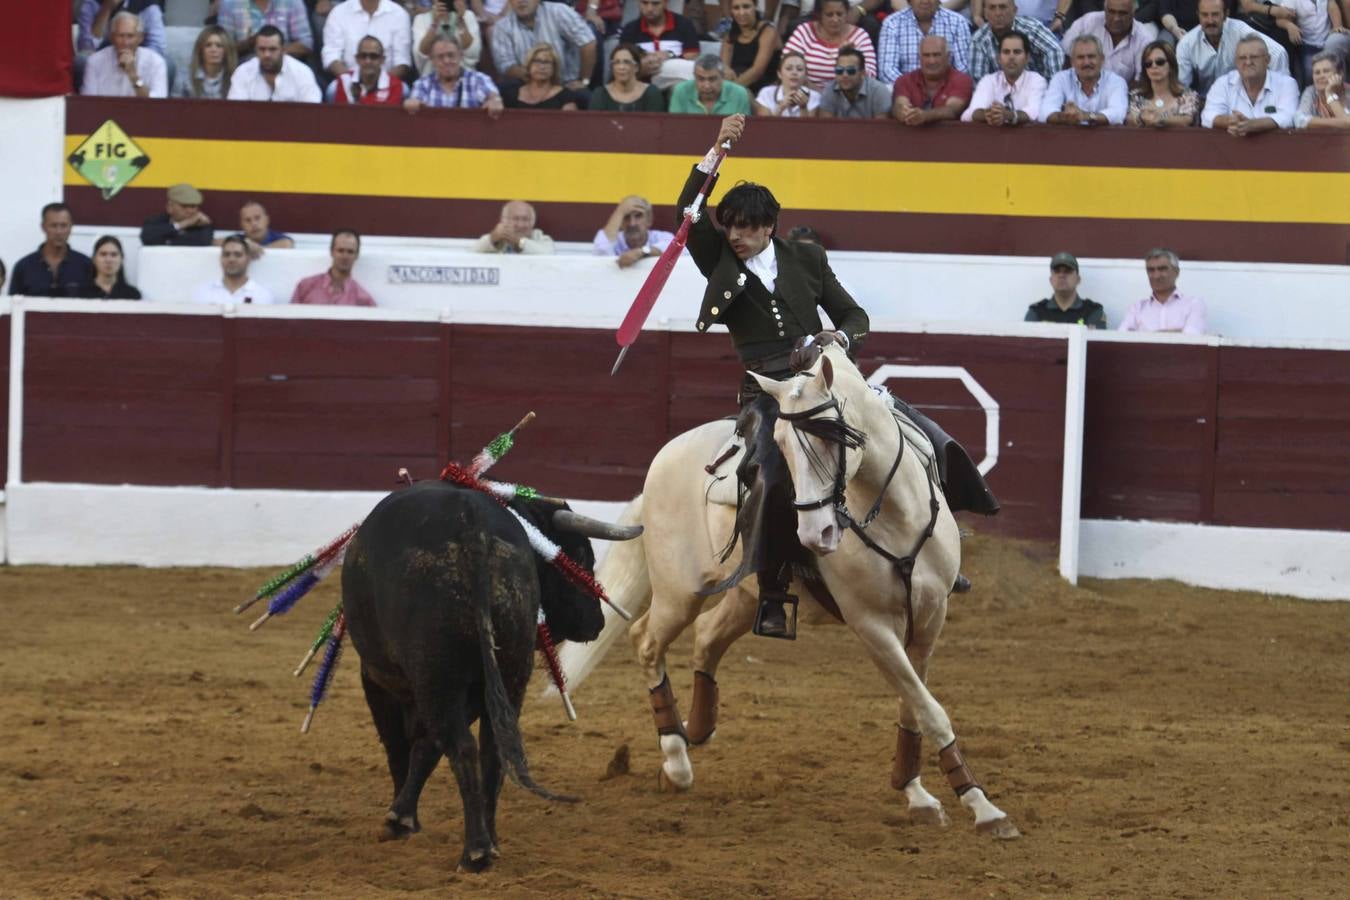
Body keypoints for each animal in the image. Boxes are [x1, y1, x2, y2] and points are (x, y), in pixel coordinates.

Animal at [342, 485, 626, 874]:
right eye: (579, 555)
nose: (596, 621)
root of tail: (471, 528)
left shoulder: (377, 677)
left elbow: (401, 748)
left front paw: (399, 820)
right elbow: (428, 747)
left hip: (436, 676)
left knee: (462, 747)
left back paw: (475, 851)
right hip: (508, 673)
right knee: (493, 750)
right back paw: (490, 842)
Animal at [558, 345, 1015, 836]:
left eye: (838, 437)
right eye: (782, 443)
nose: (817, 534)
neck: (894, 516)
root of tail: (662, 461)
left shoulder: (929, 620)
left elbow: (914, 703)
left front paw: (917, 792)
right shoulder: (872, 626)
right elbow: (928, 707)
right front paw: (982, 806)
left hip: (747, 595)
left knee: (706, 636)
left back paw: (696, 727)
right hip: (680, 591)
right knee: (647, 640)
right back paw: (676, 759)